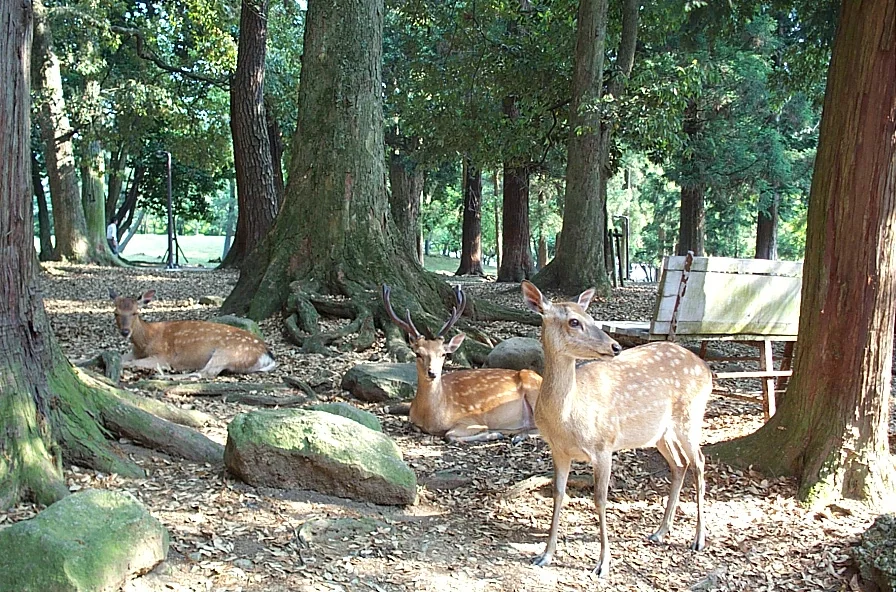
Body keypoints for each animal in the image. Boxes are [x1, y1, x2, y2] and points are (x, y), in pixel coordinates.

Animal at [110, 289, 277, 379]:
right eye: (115, 313)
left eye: (135, 312)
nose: (125, 332)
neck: (145, 342)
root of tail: (267, 355)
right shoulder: (134, 352)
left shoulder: (163, 355)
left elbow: (131, 363)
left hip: (229, 352)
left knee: (204, 373)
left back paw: (163, 375)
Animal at [382, 284, 543, 443]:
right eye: (418, 353)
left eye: (443, 354)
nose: (432, 373)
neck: (432, 418)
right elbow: (415, 426)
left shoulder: (471, 419)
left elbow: (450, 435)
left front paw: (493, 433)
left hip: (534, 391)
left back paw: (516, 435)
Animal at [520, 280, 712, 577]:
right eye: (574, 321)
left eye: (591, 317)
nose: (615, 346)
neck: (567, 418)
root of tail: (707, 369)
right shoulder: (558, 450)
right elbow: (558, 494)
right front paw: (545, 555)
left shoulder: (604, 445)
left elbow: (600, 499)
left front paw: (603, 564)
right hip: (660, 432)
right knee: (680, 464)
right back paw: (660, 532)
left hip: (691, 416)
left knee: (699, 462)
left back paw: (699, 539)